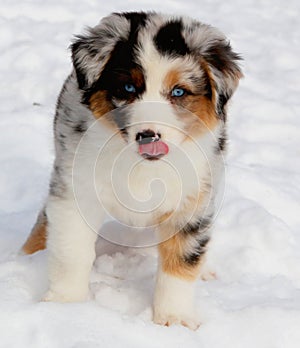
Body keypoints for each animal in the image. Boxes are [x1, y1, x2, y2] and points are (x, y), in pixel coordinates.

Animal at [21, 11, 241, 328]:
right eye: (128, 88)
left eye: (178, 92)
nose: (148, 136)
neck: (141, 165)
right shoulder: (75, 189)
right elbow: (71, 250)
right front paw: (65, 306)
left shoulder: (194, 198)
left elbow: (181, 261)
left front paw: (174, 319)